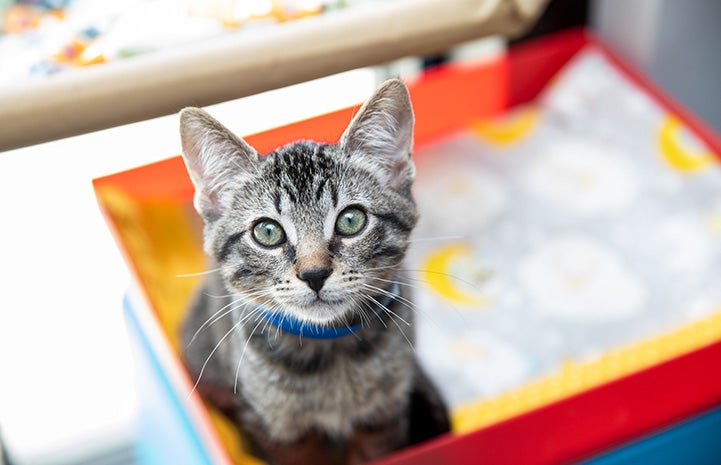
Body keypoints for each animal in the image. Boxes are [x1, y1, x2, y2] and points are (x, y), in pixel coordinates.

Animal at [179, 79, 450, 465]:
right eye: (267, 232)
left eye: (351, 220)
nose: (314, 274)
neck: (330, 353)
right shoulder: (285, 435)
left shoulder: (382, 420)